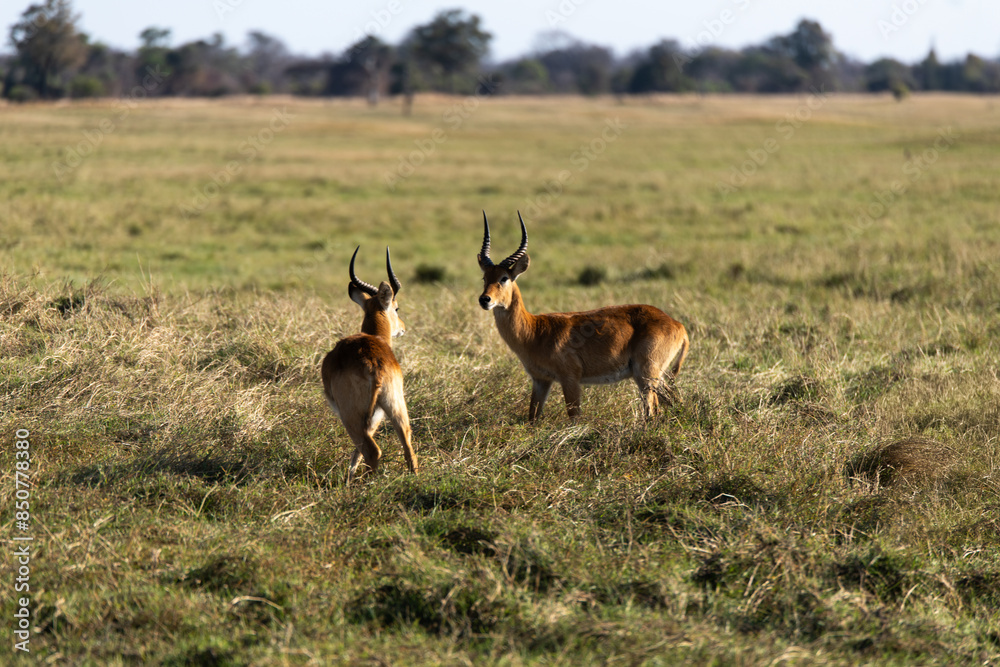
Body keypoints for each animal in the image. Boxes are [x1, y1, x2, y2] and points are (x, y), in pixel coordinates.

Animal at [321, 246, 417, 482]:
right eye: (397, 308)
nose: (402, 328)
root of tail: (374, 364)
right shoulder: (377, 415)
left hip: (351, 416)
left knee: (372, 450)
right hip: (394, 405)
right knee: (408, 446)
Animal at [477, 212, 689, 421]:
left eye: (504, 278)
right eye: (484, 277)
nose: (484, 299)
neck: (535, 331)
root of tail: (678, 325)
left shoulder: (570, 378)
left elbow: (574, 416)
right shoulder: (541, 380)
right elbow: (533, 417)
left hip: (646, 374)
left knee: (652, 411)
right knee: (671, 401)